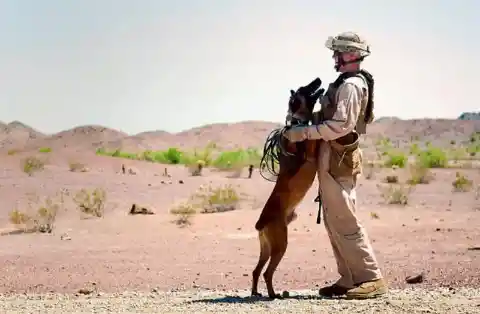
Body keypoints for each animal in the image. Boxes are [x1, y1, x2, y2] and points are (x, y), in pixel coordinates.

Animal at [251, 78, 322, 300]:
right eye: (304, 88)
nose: (318, 80)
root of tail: (260, 223)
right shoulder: (311, 147)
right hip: (280, 246)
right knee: (267, 273)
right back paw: (273, 294)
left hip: (267, 248)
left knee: (256, 271)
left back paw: (256, 292)